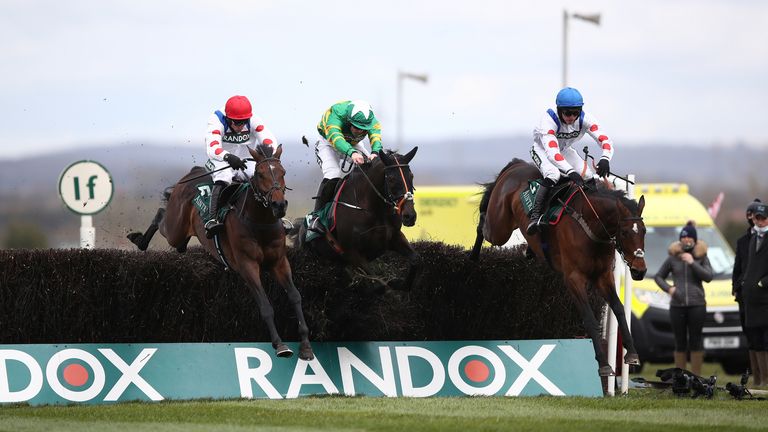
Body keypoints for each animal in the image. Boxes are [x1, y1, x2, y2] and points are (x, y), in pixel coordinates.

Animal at [127, 145, 314, 362]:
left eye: (283, 172)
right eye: (260, 174)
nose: (279, 205)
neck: (259, 223)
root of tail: (192, 173)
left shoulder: (280, 262)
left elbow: (295, 296)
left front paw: (306, 345)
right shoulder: (247, 266)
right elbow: (266, 306)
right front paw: (280, 345)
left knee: (178, 242)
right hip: (175, 228)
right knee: (160, 215)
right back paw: (139, 240)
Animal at [292, 148, 420, 294]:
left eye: (411, 176)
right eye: (392, 179)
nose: (410, 216)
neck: (374, 209)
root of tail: (300, 231)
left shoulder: (394, 237)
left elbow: (416, 260)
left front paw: (401, 284)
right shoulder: (351, 253)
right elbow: (379, 284)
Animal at [472, 158, 644, 374]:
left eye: (644, 231)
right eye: (625, 233)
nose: (640, 270)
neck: (590, 224)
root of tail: (516, 165)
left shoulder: (603, 276)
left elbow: (619, 309)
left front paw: (632, 353)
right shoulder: (573, 278)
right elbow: (589, 318)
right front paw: (604, 364)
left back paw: (529, 251)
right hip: (499, 228)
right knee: (482, 224)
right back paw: (473, 255)